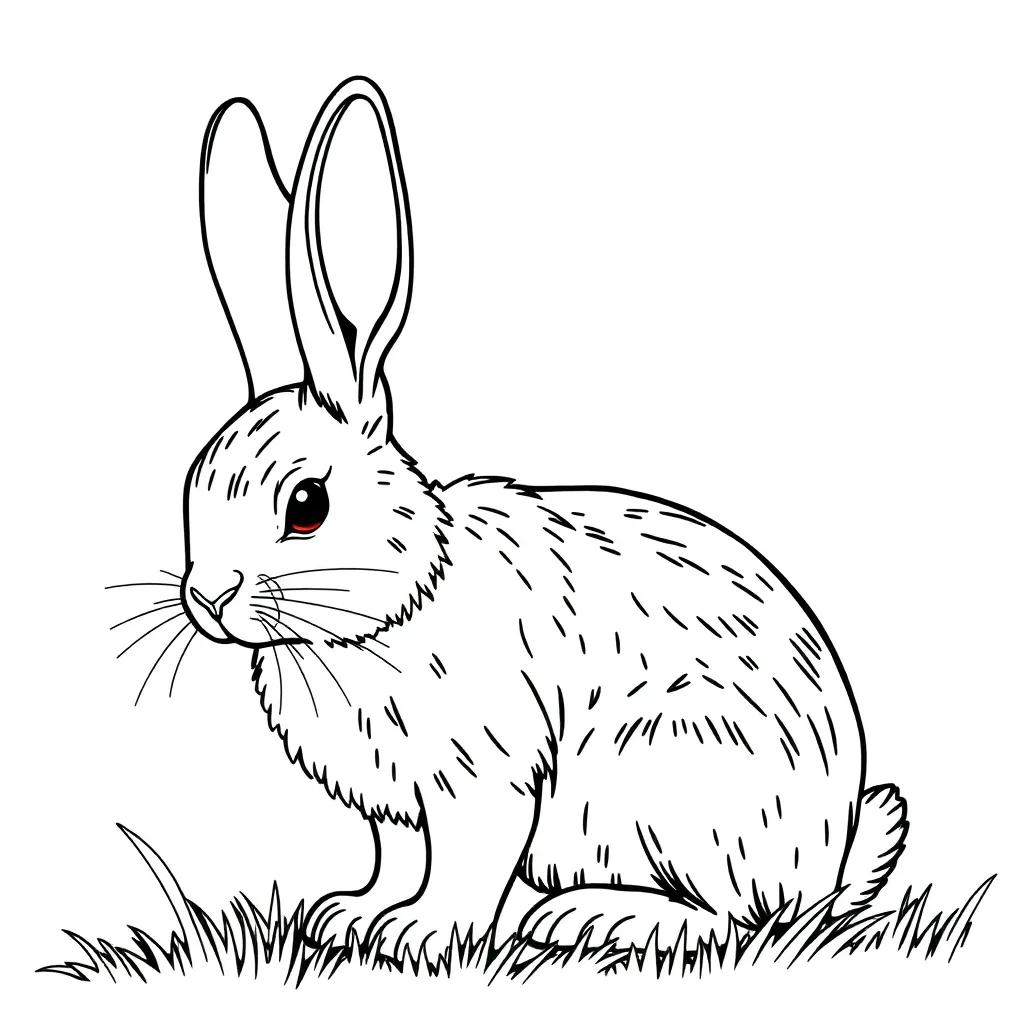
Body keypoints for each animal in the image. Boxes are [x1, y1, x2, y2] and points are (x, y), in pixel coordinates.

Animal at [181, 76, 908, 964]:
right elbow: (397, 859)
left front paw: (421, 935)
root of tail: (827, 859)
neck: (408, 598)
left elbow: (466, 864)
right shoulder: (396, 803)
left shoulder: (484, 773)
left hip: (673, 776)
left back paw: (597, 919)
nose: (208, 597)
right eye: (194, 485)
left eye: (306, 504)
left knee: (739, 918)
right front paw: (349, 917)